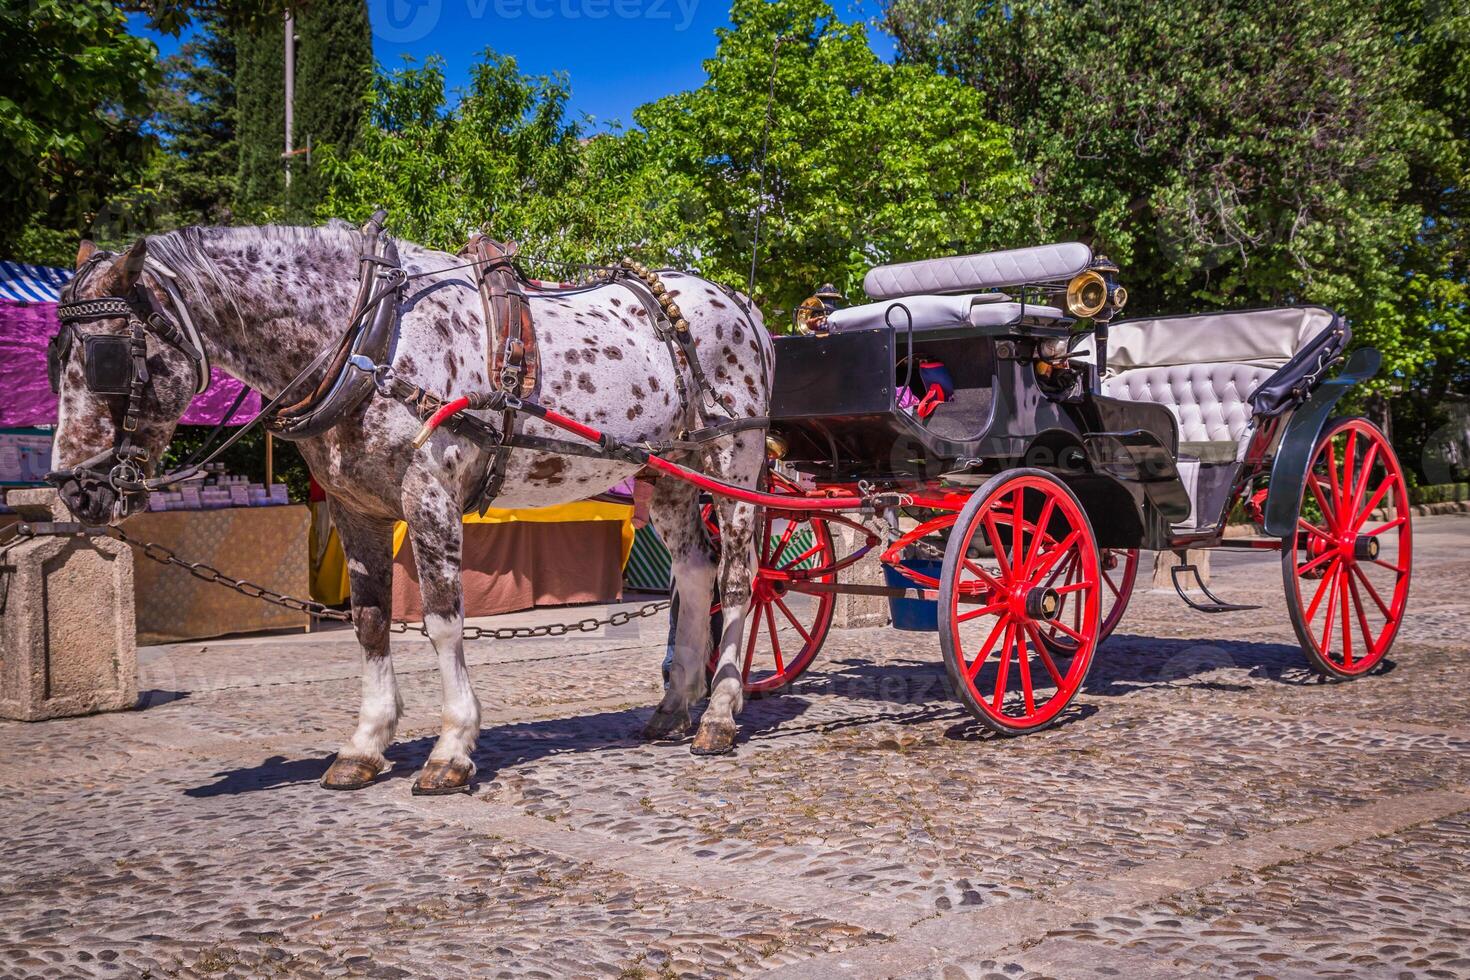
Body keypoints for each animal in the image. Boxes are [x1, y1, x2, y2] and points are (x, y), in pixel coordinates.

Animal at [44, 215, 776, 799]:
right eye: (54, 358)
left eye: (108, 357)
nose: (76, 491)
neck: (372, 344)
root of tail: (739, 300)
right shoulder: (355, 510)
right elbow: (370, 622)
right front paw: (366, 744)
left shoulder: (430, 495)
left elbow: (443, 621)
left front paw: (451, 748)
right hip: (670, 473)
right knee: (694, 571)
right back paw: (674, 706)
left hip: (736, 459)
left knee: (740, 578)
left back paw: (719, 714)